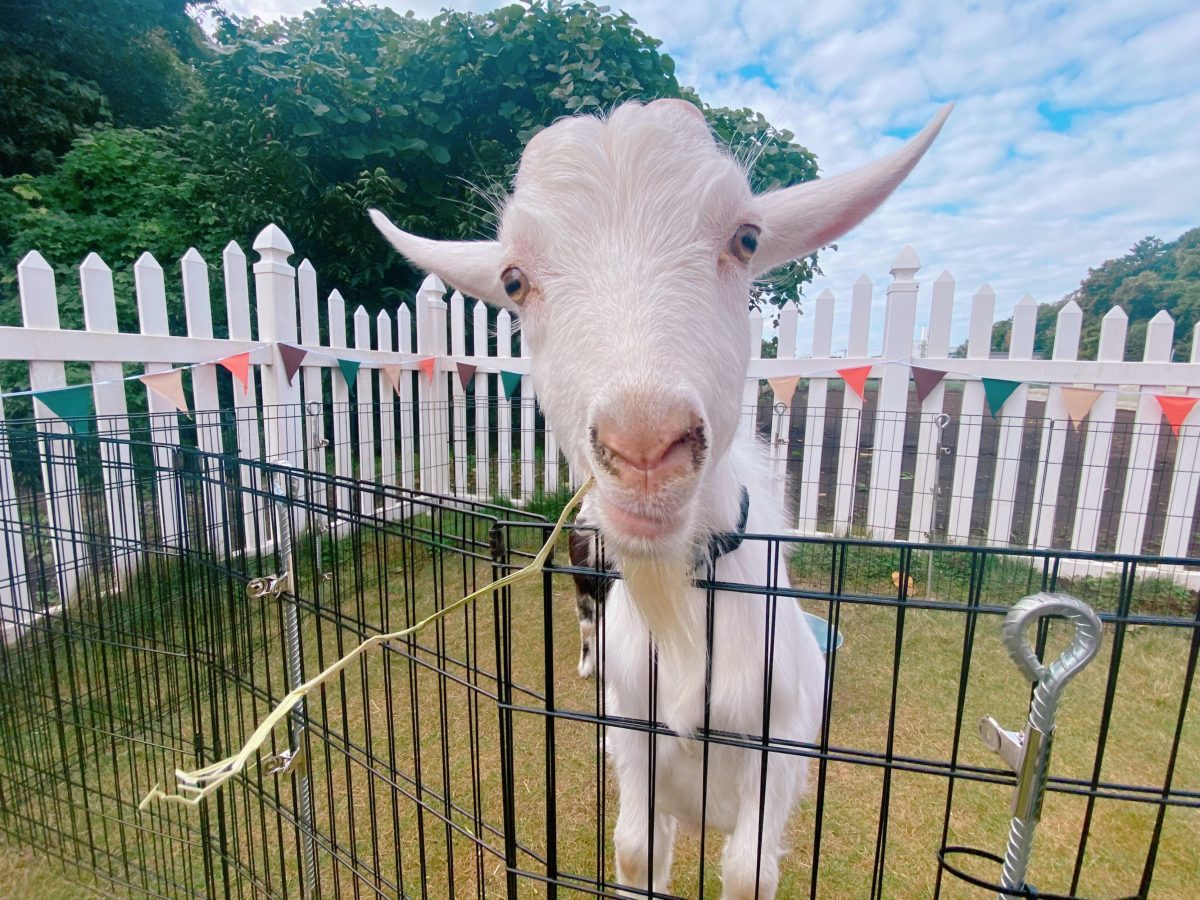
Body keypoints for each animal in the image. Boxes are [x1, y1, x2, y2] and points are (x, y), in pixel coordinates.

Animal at [369, 98, 950, 900]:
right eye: (513, 280)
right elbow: (637, 850)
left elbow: (749, 871)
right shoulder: (636, 740)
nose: (644, 450)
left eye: (746, 238)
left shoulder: (777, 750)